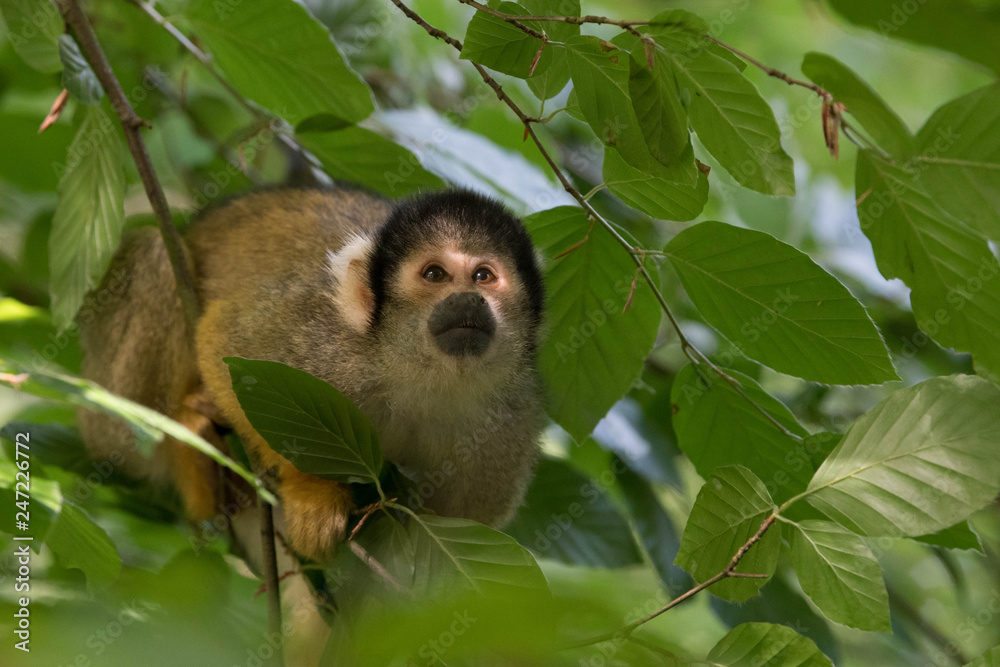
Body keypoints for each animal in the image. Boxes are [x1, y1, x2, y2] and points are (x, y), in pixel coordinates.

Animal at [77, 186, 546, 562]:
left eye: (484, 276)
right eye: (435, 274)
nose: (468, 299)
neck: (423, 375)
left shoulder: (509, 424)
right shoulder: (323, 341)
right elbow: (226, 342)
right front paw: (312, 493)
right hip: (108, 406)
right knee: (157, 251)